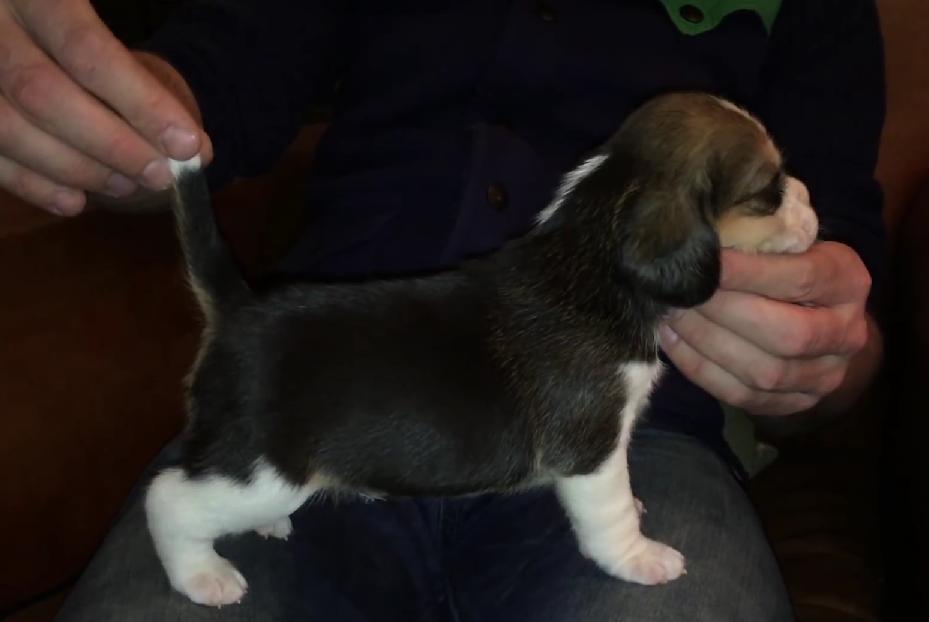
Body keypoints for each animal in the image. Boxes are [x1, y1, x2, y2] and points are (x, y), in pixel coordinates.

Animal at [145, 94, 812, 608]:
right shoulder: (591, 449)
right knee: (170, 500)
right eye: (770, 191)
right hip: (262, 470)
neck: (591, 249)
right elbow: (611, 512)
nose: (812, 207)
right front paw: (640, 558)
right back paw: (202, 575)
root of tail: (239, 306)